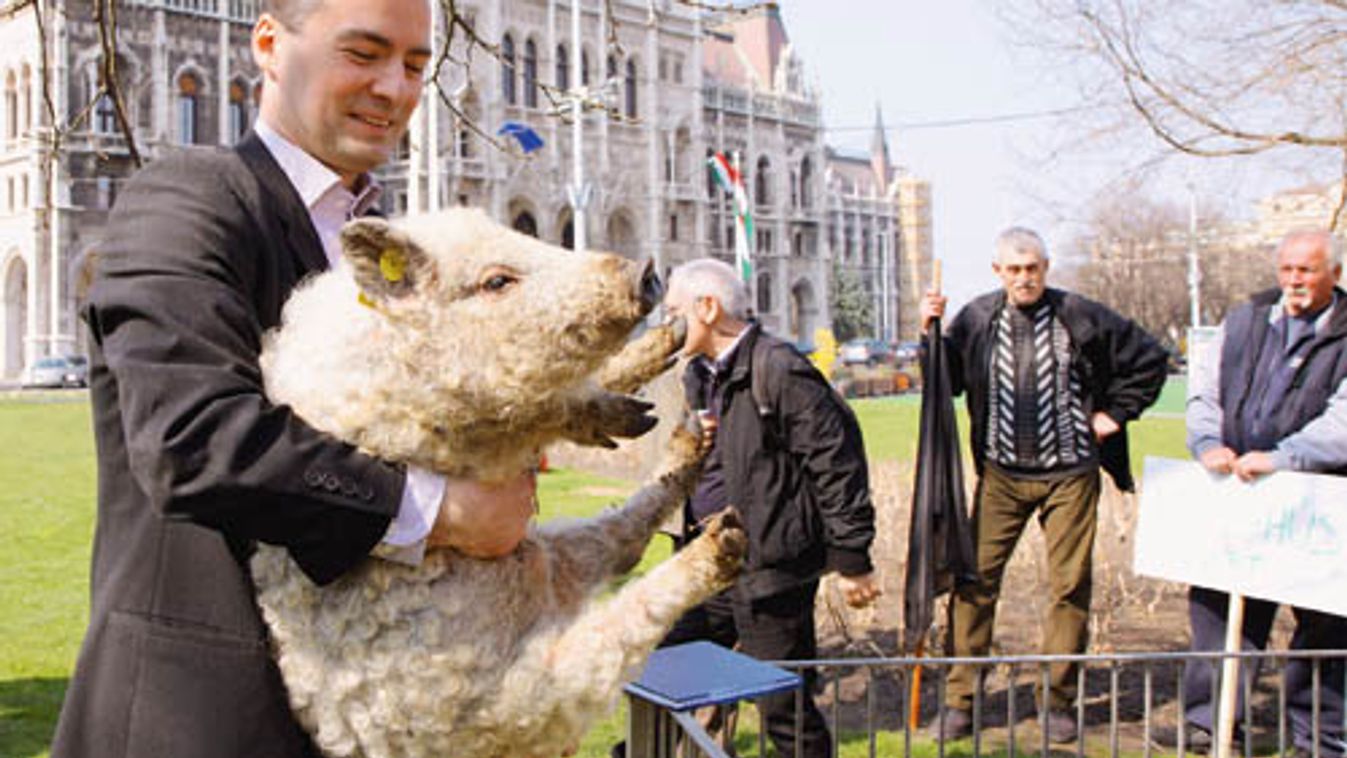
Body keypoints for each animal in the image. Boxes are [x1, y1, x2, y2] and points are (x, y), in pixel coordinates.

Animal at [246, 208, 743, 758]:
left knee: (622, 540)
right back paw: (722, 537)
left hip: (557, 551)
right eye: (497, 281)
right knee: (621, 585)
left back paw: (691, 439)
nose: (646, 270)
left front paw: (657, 369)